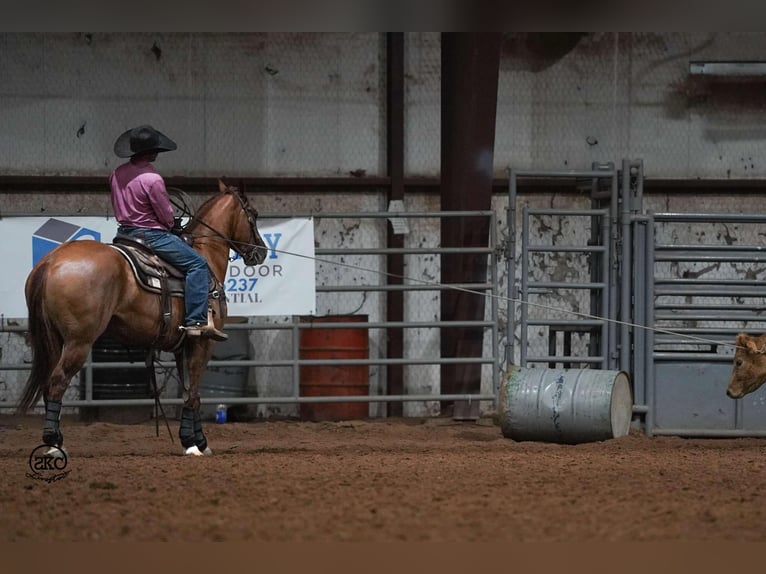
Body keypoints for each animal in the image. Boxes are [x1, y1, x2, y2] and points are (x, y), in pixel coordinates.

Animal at [15, 180, 268, 460]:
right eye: (253, 214)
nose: (262, 252)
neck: (205, 255)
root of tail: (50, 262)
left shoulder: (183, 346)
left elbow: (189, 392)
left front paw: (191, 440)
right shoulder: (203, 342)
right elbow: (194, 393)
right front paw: (196, 444)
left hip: (54, 339)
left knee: (48, 383)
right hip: (78, 342)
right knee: (57, 382)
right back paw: (54, 445)